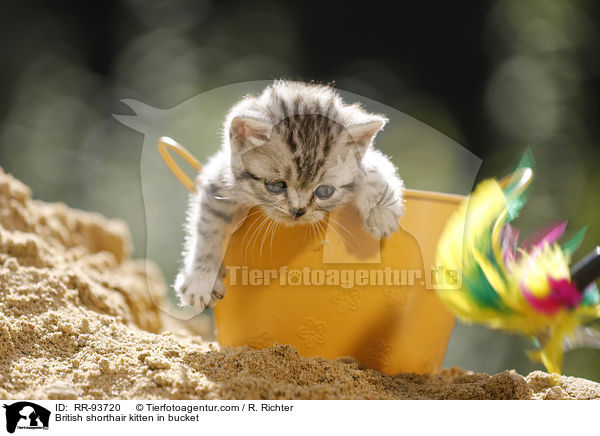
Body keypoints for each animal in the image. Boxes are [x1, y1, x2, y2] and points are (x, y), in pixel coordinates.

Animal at [176, 81, 406, 310]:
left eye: (324, 191)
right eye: (277, 186)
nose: (298, 211)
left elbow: (372, 168)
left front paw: (382, 213)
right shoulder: (218, 182)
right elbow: (208, 231)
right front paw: (201, 281)